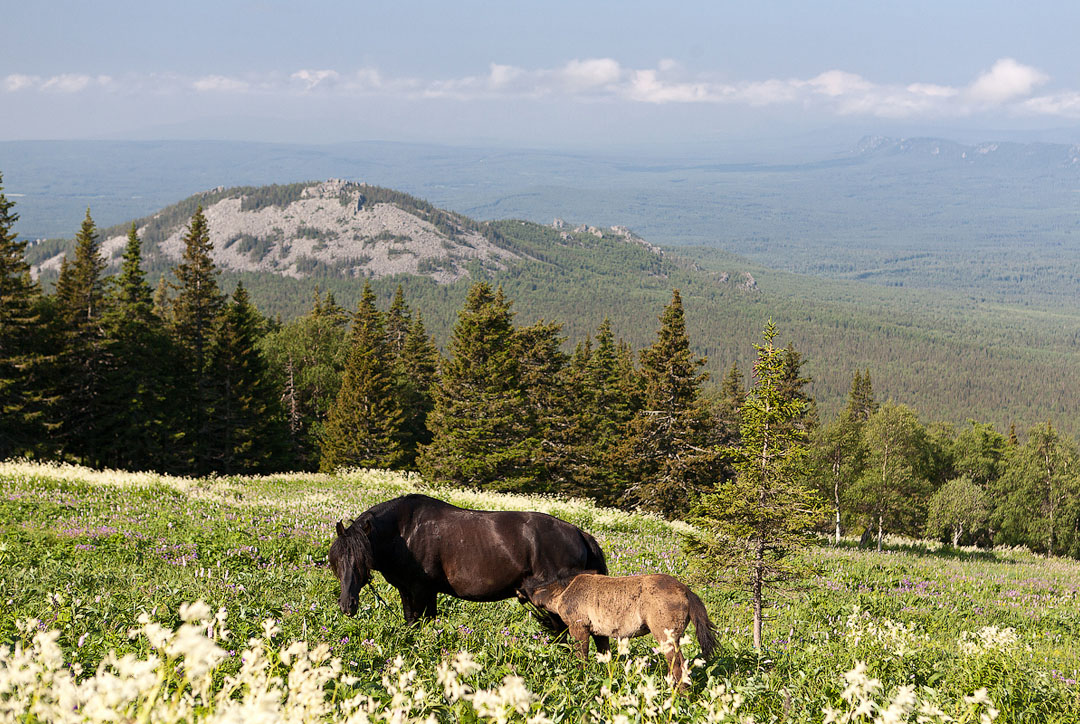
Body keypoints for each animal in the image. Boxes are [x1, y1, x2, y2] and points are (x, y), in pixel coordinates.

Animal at [324, 497, 609, 626]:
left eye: (362, 561)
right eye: (336, 562)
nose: (347, 605)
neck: (405, 532)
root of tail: (578, 533)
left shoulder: (420, 591)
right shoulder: (415, 592)